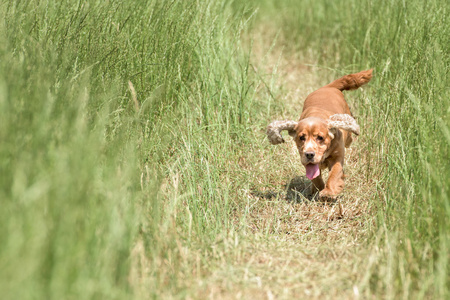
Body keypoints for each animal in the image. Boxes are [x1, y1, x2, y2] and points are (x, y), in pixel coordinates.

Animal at [268, 69, 372, 200]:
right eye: (301, 137)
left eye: (320, 138)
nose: (309, 154)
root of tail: (328, 87)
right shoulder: (305, 160)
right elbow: (316, 177)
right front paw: (318, 189)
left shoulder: (338, 156)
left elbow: (334, 174)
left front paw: (328, 192)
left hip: (348, 132)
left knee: (349, 139)